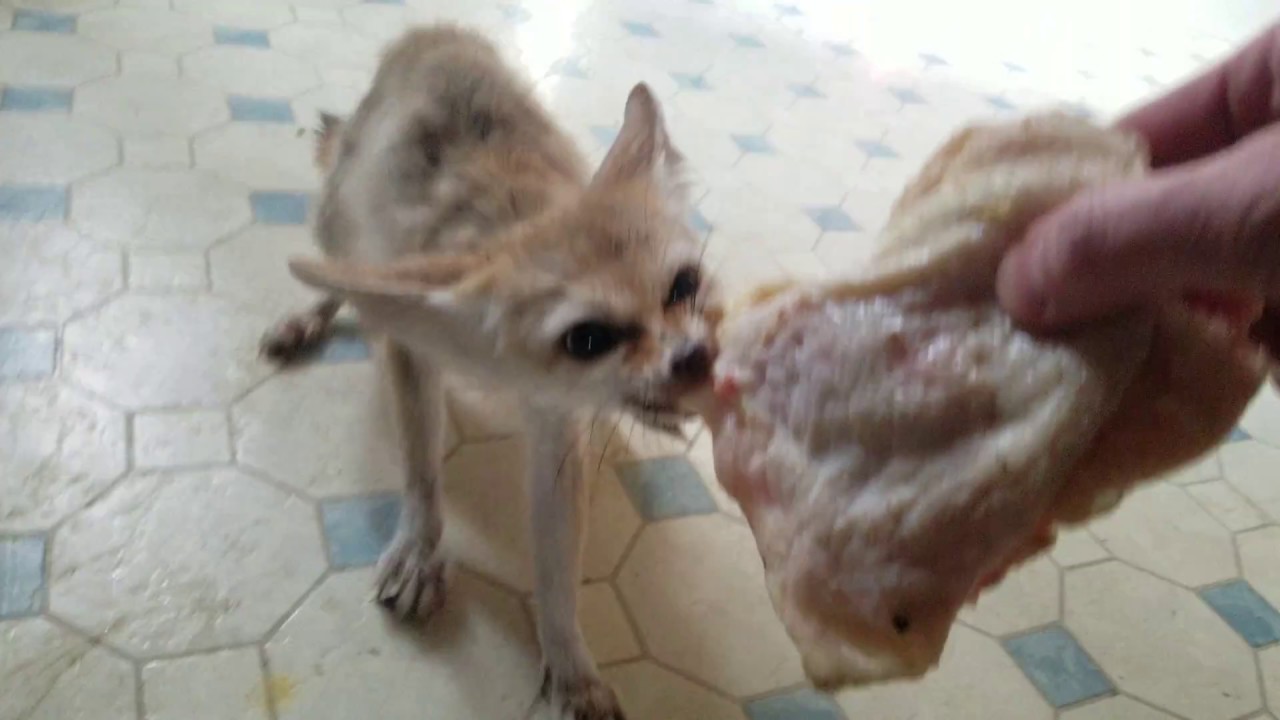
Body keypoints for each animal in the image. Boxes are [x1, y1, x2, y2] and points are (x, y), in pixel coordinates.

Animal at [261, 25, 721, 720]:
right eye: (588, 339)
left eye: (685, 285)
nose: (694, 358)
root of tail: (432, 32)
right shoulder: (412, 337)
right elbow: (421, 468)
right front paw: (421, 547)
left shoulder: (559, 424)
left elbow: (558, 563)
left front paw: (569, 657)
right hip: (340, 215)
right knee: (337, 267)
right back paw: (312, 312)